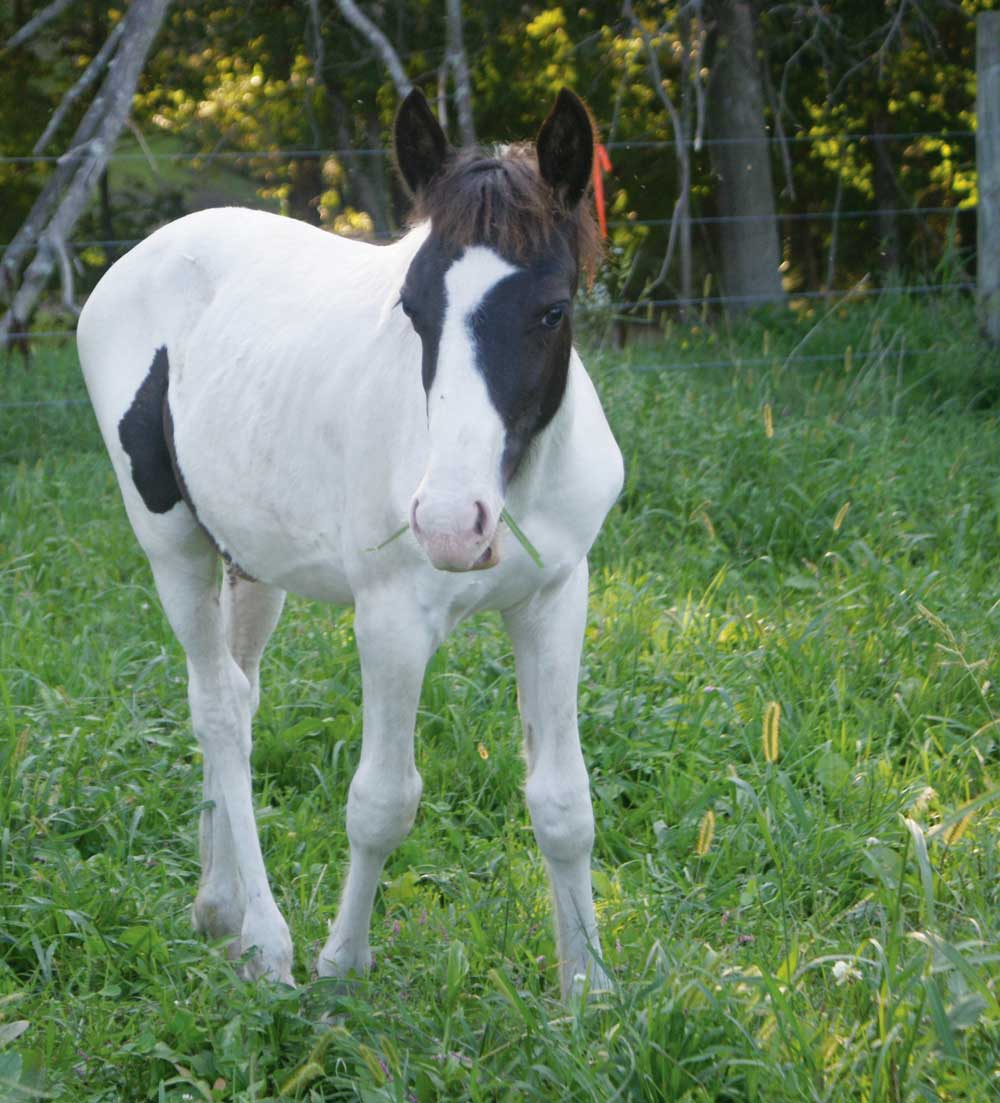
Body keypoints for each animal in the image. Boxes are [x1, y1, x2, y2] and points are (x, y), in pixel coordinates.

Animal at [79, 90, 626, 997]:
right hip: (172, 545)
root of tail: (140, 259)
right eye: (413, 309)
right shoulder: (391, 619)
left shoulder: (556, 598)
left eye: (552, 309)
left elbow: (564, 802)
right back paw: (266, 940)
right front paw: (341, 964)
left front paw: (589, 989)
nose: (450, 524)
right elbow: (381, 800)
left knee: (239, 694)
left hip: (253, 563)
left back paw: (219, 907)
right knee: (217, 706)